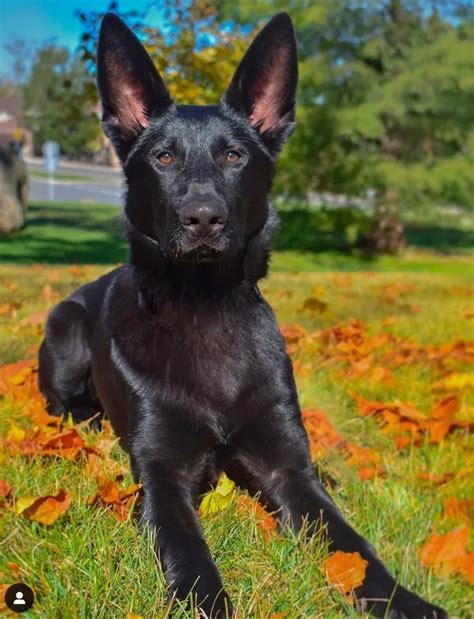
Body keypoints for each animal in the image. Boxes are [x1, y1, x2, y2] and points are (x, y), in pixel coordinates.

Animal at [38, 10, 448, 619]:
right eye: (163, 157)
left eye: (234, 156)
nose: (203, 218)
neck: (205, 308)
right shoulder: (162, 474)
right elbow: (187, 549)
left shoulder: (285, 467)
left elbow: (353, 545)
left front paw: (406, 600)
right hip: (64, 330)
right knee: (63, 407)